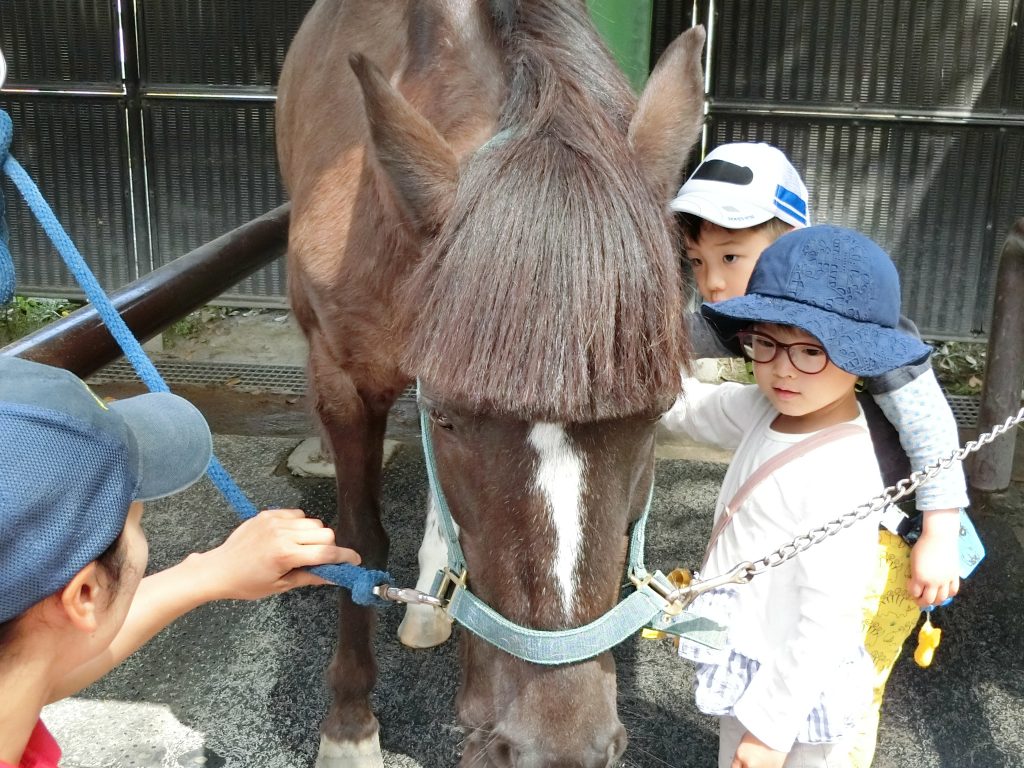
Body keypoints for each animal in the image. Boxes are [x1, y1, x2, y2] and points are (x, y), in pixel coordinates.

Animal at [276, 3, 700, 765]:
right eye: (447, 419)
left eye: (656, 416)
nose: (558, 748)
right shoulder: (342, 379)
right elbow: (358, 543)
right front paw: (349, 725)